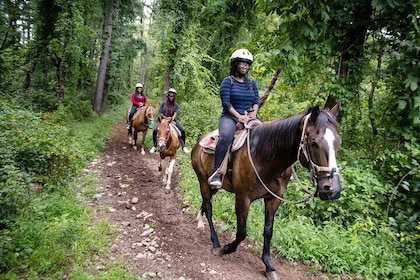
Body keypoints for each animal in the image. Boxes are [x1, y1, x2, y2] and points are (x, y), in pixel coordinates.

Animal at [190, 103, 342, 280]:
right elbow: (242, 232)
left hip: (213, 187)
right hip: (203, 181)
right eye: (313, 142)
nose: (333, 189)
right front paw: (226, 249)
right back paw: (215, 243)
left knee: (205, 203)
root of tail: (200, 140)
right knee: (209, 208)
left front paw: (269, 266)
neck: (266, 157)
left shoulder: (274, 199)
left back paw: (199, 221)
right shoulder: (243, 198)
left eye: (338, 142)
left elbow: (268, 231)